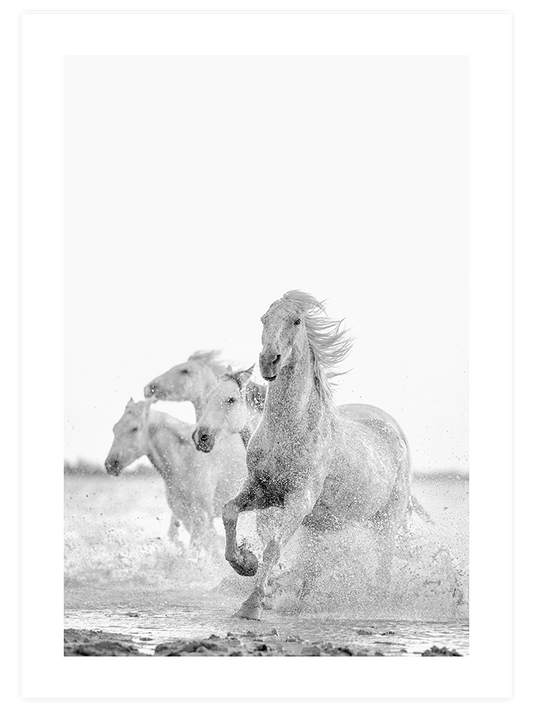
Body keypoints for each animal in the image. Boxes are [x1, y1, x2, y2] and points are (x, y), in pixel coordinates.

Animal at [104, 400, 245, 556]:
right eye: (115, 428)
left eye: (134, 428)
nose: (110, 464)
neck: (185, 461)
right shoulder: (183, 512)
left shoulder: (201, 514)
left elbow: (199, 544)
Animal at [220, 292, 412, 620]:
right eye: (264, 318)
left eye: (296, 321)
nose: (268, 361)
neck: (289, 429)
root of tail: (393, 433)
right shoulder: (261, 489)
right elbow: (229, 511)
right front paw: (245, 562)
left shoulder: (300, 498)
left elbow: (274, 546)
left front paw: (252, 604)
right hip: (324, 527)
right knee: (314, 565)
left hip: (386, 520)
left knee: (384, 565)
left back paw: (376, 602)